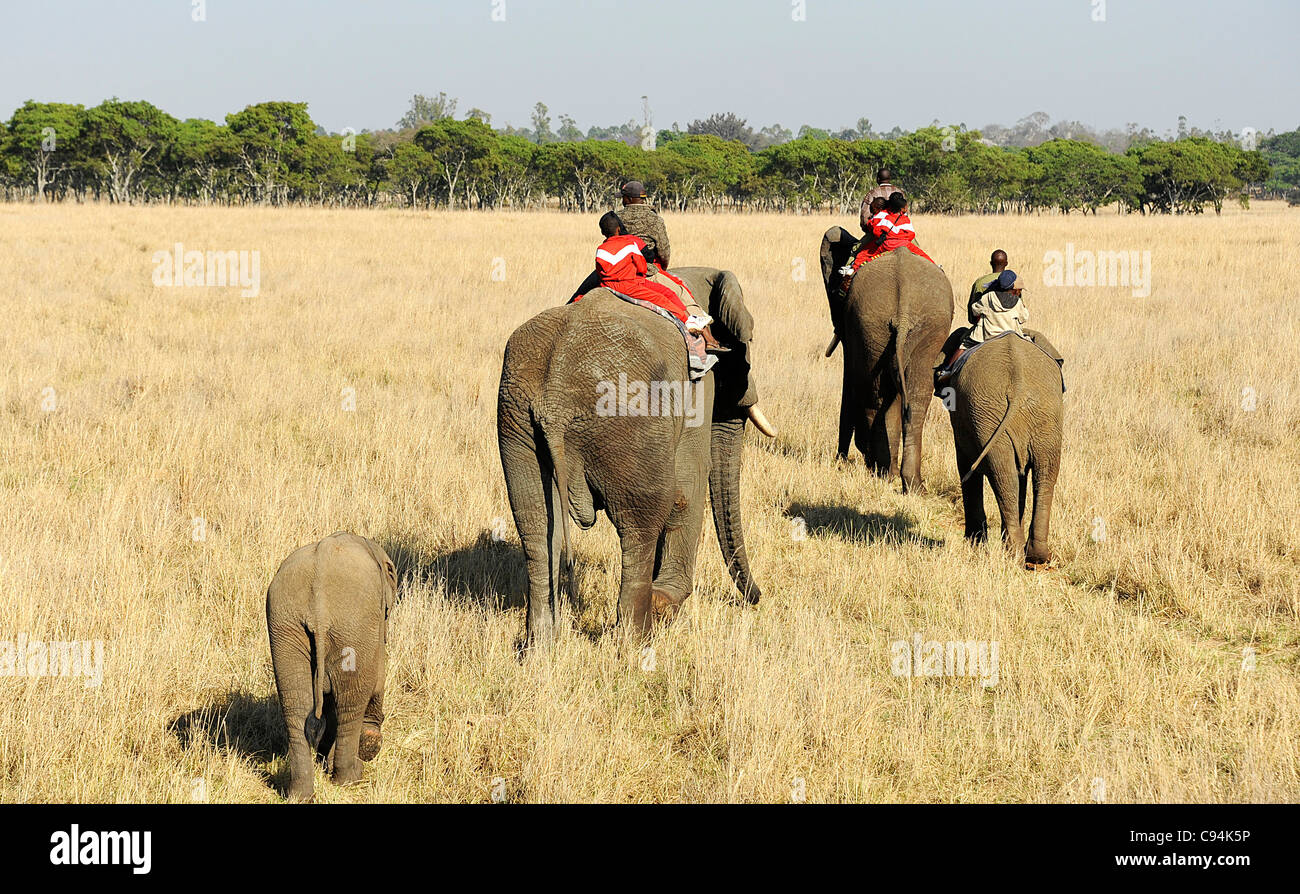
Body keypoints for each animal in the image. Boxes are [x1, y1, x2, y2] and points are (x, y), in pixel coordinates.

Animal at [266, 532, 396, 801]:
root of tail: (318, 606)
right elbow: (377, 676)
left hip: (284, 623)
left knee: (295, 705)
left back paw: (300, 794)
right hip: (353, 624)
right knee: (352, 698)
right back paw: (350, 777)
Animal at [497, 267, 771, 648]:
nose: (756, 598)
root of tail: (555, 398)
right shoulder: (697, 384)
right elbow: (686, 487)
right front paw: (666, 602)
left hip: (517, 421)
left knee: (535, 524)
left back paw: (539, 647)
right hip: (628, 416)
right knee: (640, 522)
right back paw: (637, 640)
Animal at [819, 227, 954, 493]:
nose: (840, 460)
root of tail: (904, 311)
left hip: (883, 324)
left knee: (877, 395)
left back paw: (886, 473)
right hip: (905, 325)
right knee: (912, 395)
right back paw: (910, 484)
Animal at [941, 331, 1064, 565]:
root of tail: (1018, 382)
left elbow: (966, 466)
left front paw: (974, 545)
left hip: (995, 413)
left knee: (1007, 475)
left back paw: (1016, 553)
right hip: (1036, 415)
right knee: (1037, 474)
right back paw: (1030, 555)